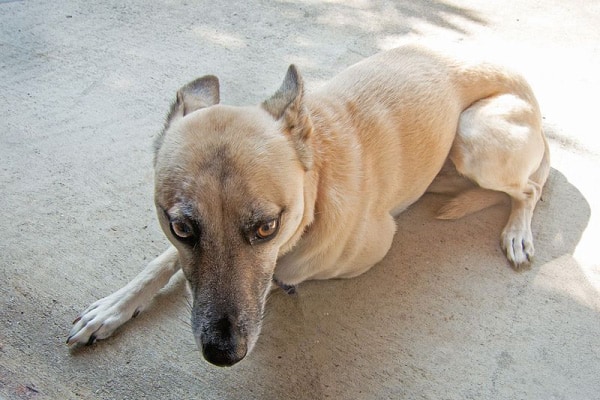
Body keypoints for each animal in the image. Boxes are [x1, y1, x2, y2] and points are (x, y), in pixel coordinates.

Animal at [68, 43, 552, 366]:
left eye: (267, 227)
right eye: (182, 228)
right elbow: (162, 261)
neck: (316, 186)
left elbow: (278, 278)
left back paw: (517, 233)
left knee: (528, 190)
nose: (222, 353)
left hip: (475, 137)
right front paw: (115, 306)